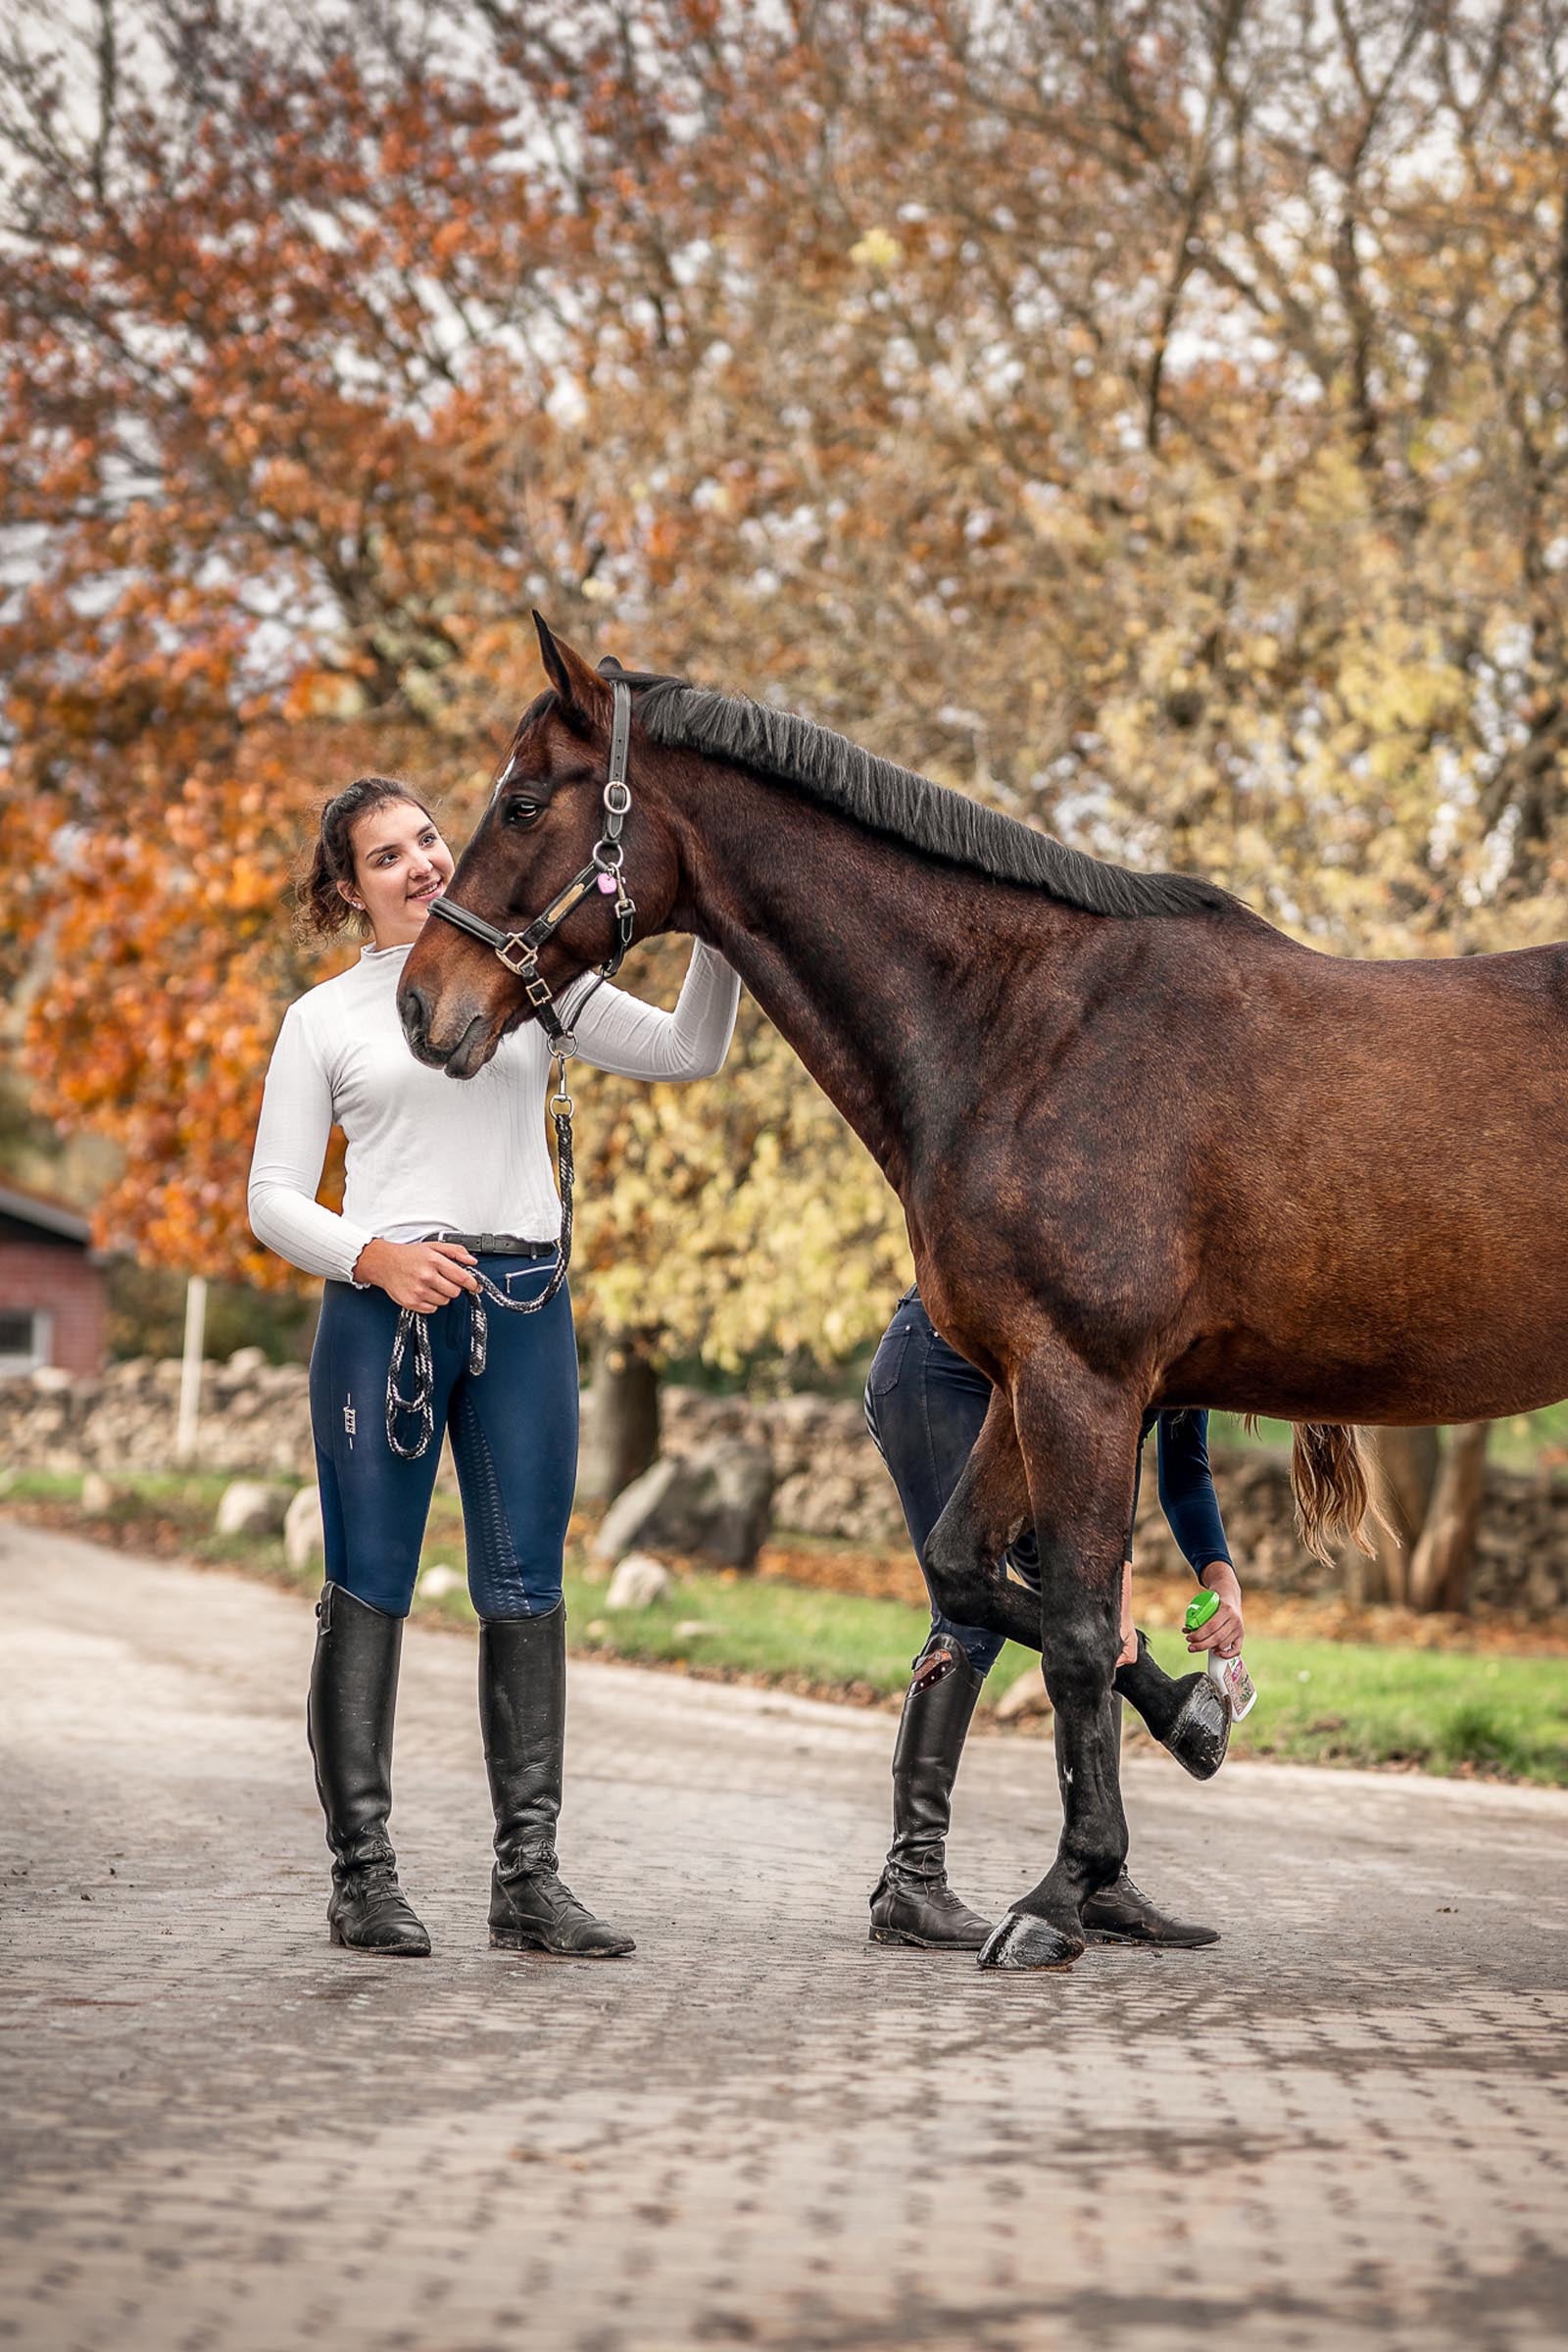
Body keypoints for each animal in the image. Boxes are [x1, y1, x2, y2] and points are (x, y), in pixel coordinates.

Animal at [398, 617, 1568, 1970]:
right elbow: (982, 1579)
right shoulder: (1026, 1382)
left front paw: (1061, 1896)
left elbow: (1070, 1630)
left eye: (525, 802)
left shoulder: (1081, 1384)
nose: (420, 1005)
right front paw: (1186, 1718)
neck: (1025, 1026)